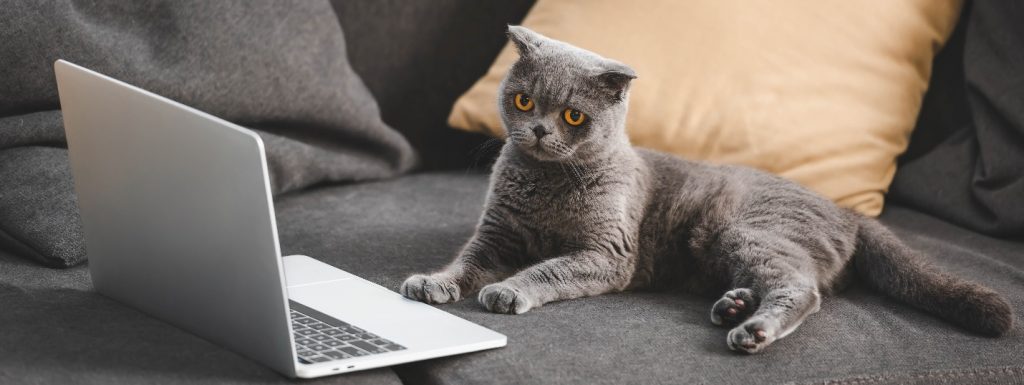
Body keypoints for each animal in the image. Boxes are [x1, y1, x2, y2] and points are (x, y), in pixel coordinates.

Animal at [395, 25, 1011, 354]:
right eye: (524, 102)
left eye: (572, 115)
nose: (541, 131)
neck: (549, 182)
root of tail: (848, 212)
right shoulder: (496, 234)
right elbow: (467, 261)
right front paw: (434, 283)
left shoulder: (607, 253)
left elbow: (550, 269)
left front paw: (508, 290)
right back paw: (733, 305)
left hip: (748, 230)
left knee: (804, 288)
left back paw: (752, 330)